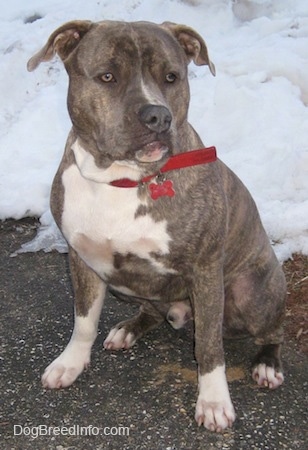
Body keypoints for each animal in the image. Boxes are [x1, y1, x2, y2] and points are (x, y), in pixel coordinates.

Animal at [27, 19, 288, 430]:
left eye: (171, 77)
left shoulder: (205, 270)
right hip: (121, 281)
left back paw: (266, 364)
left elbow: (209, 345)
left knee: (273, 330)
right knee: (150, 311)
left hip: (254, 294)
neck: (122, 178)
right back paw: (128, 329)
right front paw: (71, 363)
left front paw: (214, 402)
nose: (158, 117)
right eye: (107, 76)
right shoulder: (81, 260)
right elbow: (83, 320)